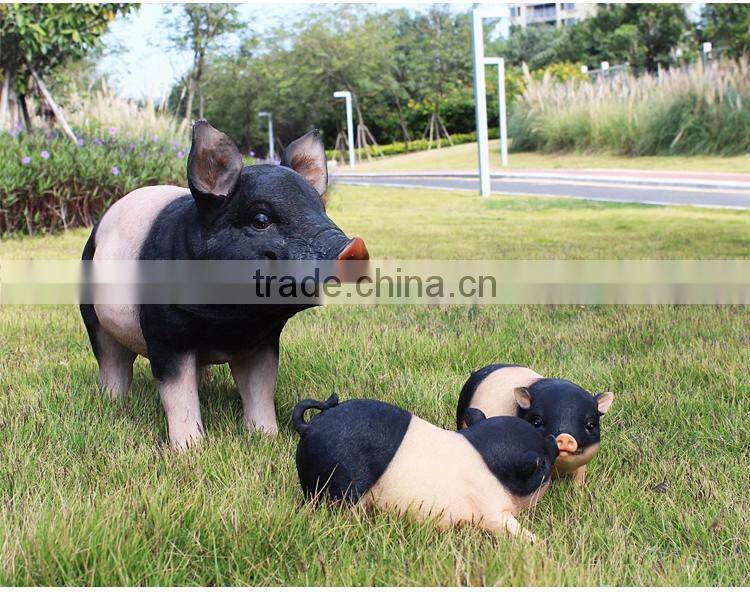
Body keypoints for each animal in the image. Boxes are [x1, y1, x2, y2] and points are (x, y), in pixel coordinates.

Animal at [79, 121, 368, 449]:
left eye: (321, 210)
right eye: (260, 219)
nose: (354, 247)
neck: (231, 318)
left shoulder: (264, 340)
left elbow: (259, 387)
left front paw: (266, 437)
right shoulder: (164, 337)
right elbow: (176, 394)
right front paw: (189, 450)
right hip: (92, 315)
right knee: (112, 359)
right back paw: (113, 401)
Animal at [293, 394, 558, 542]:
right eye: (543, 465)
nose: (555, 441)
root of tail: (309, 427)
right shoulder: (488, 505)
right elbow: (505, 525)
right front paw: (539, 543)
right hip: (341, 487)